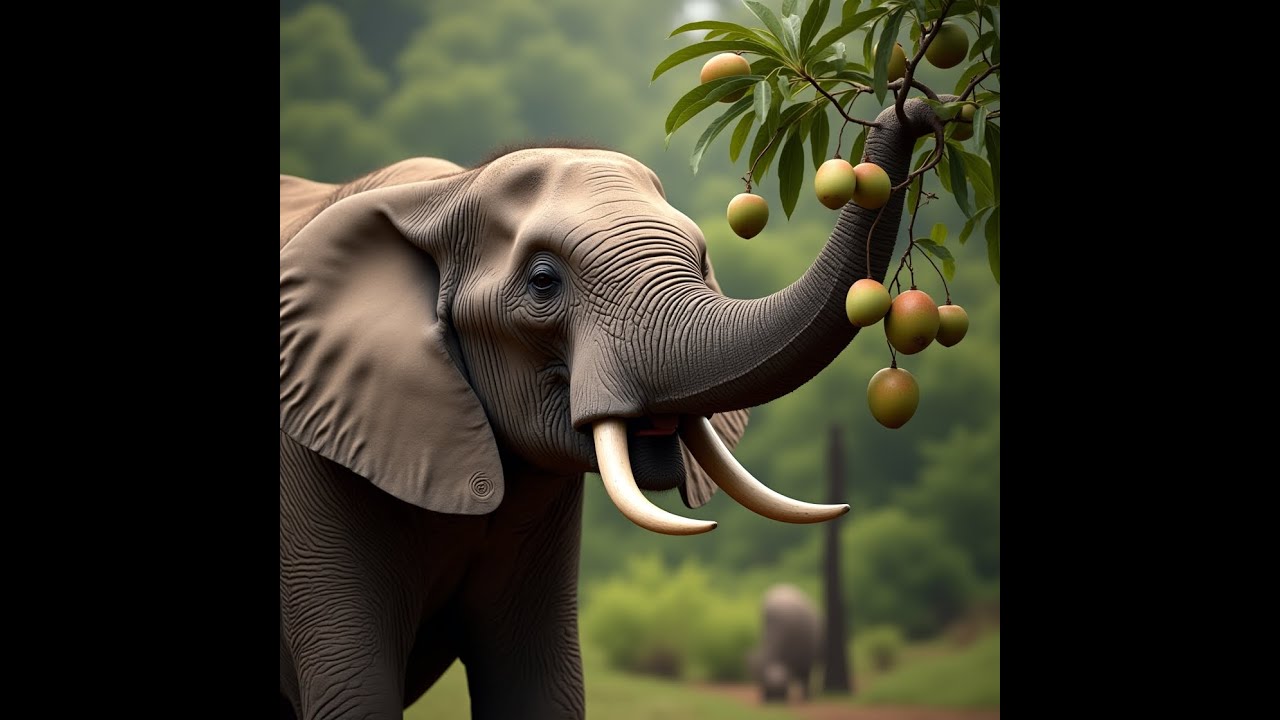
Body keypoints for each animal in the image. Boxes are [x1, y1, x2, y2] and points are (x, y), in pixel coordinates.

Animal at [280, 97, 945, 719]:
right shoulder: (311, 467)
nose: (914, 110)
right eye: (543, 282)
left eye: (702, 264)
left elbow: (539, 685)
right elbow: (354, 690)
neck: (444, 193)